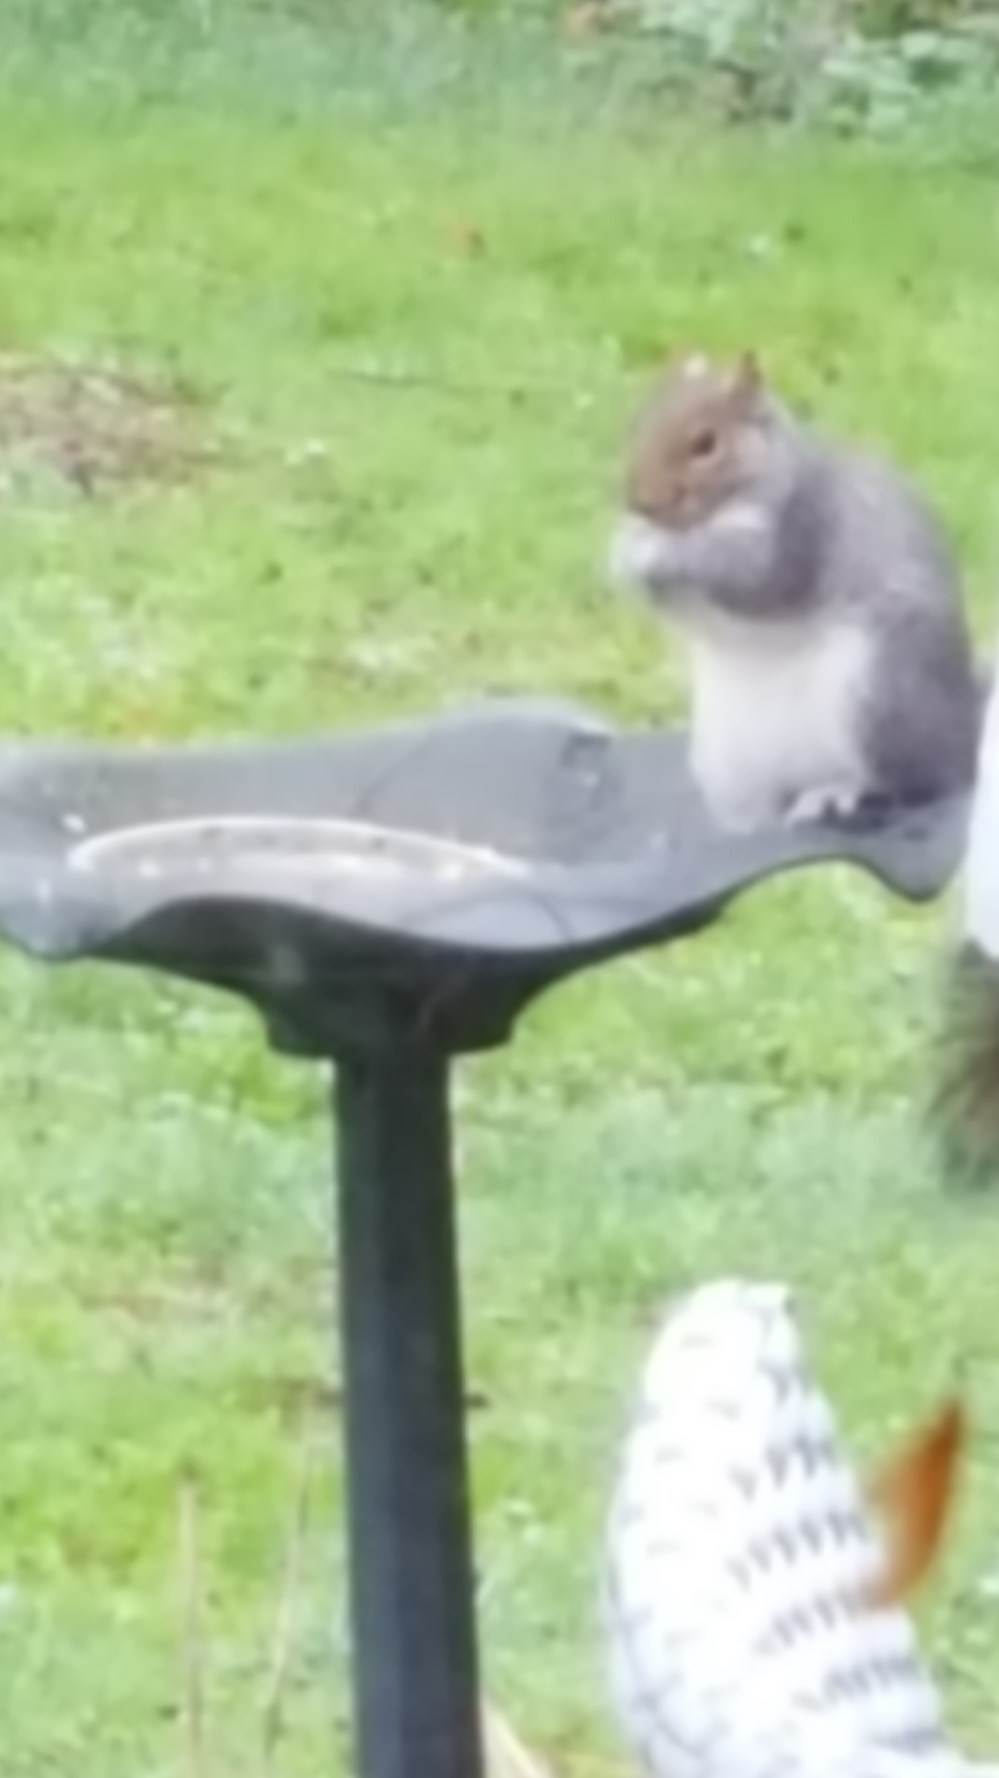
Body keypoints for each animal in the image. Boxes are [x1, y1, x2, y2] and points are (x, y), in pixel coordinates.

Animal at [609, 351, 981, 833]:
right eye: (637, 422)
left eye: (706, 444)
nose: (639, 504)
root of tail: (963, 740)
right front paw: (626, 548)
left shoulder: (800, 526)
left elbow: (756, 578)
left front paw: (661, 551)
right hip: (728, 759)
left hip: (881, 695)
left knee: (907, 782)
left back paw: (837, 792)